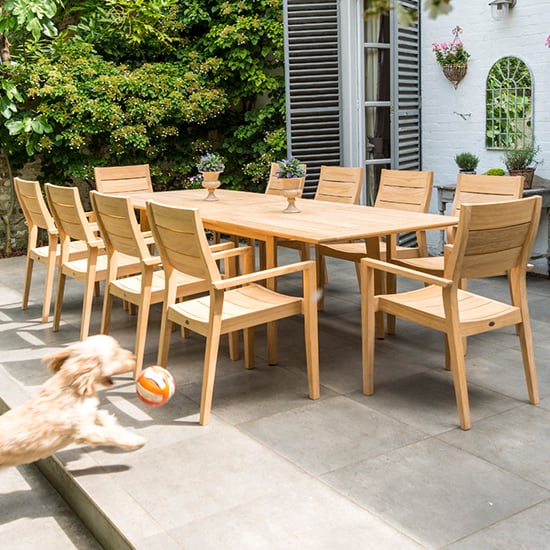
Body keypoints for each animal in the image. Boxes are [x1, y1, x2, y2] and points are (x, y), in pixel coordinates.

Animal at [0, 336, 146, 470]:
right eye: (115, 353)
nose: (134, 357)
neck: (73, 385)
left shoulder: (88, 413)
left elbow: (100, 416)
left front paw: (110, 421)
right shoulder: (85, 430)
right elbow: (109, 434)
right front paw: (134, 441)